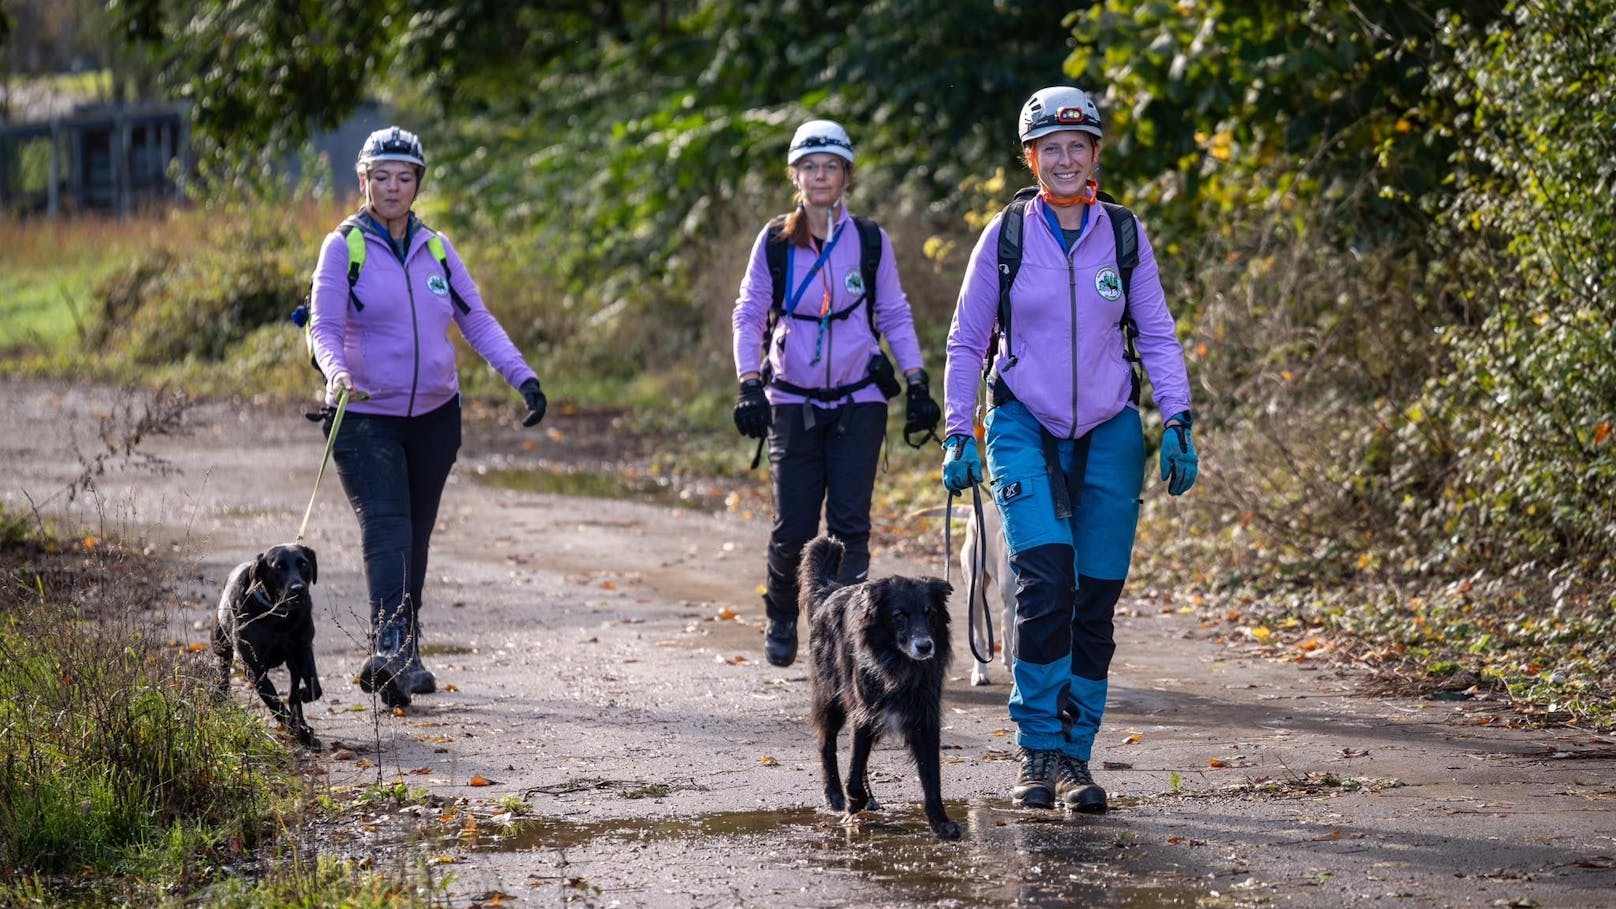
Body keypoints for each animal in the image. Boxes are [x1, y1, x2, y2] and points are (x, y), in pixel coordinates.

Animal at [218, 543, 324, 744]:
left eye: (303, 564)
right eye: (278, 567)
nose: (298, 588)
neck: (279, 617)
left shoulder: (303, 648)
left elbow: (314, 686)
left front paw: (303, 705)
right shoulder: (254, 668)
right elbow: (275, 702)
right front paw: (298, 732)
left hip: (292, 664)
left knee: (293, 691)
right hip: (220, 645)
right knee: (223, 670)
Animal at [798, 533, 956, 841]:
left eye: (929, 613)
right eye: (899, 615)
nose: (925, 646)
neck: (900, 663)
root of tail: (830, 591)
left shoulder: (924, 718)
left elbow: (931, 775)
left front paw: (940, 822)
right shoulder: (865, 712)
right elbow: (854, 765)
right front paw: (853, 800)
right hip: (831, 696)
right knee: (826, 741)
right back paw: (835, 794)